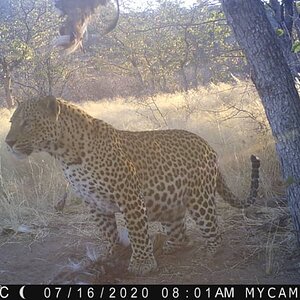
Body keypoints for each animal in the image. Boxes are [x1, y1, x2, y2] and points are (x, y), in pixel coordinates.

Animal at [5, 96, 260, 276]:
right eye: (11, 122)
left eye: (27, 123)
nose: (8, 142)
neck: (64, 155)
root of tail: (208, 146)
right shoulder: (93, 202)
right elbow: (107, 232)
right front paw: (112, 254)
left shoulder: (128, 196)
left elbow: (137, 232)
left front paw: (142, 264)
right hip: (168, 204)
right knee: (181, 233)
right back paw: (170, 246)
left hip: (199, 198)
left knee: (213, 229)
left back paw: (211, 251)